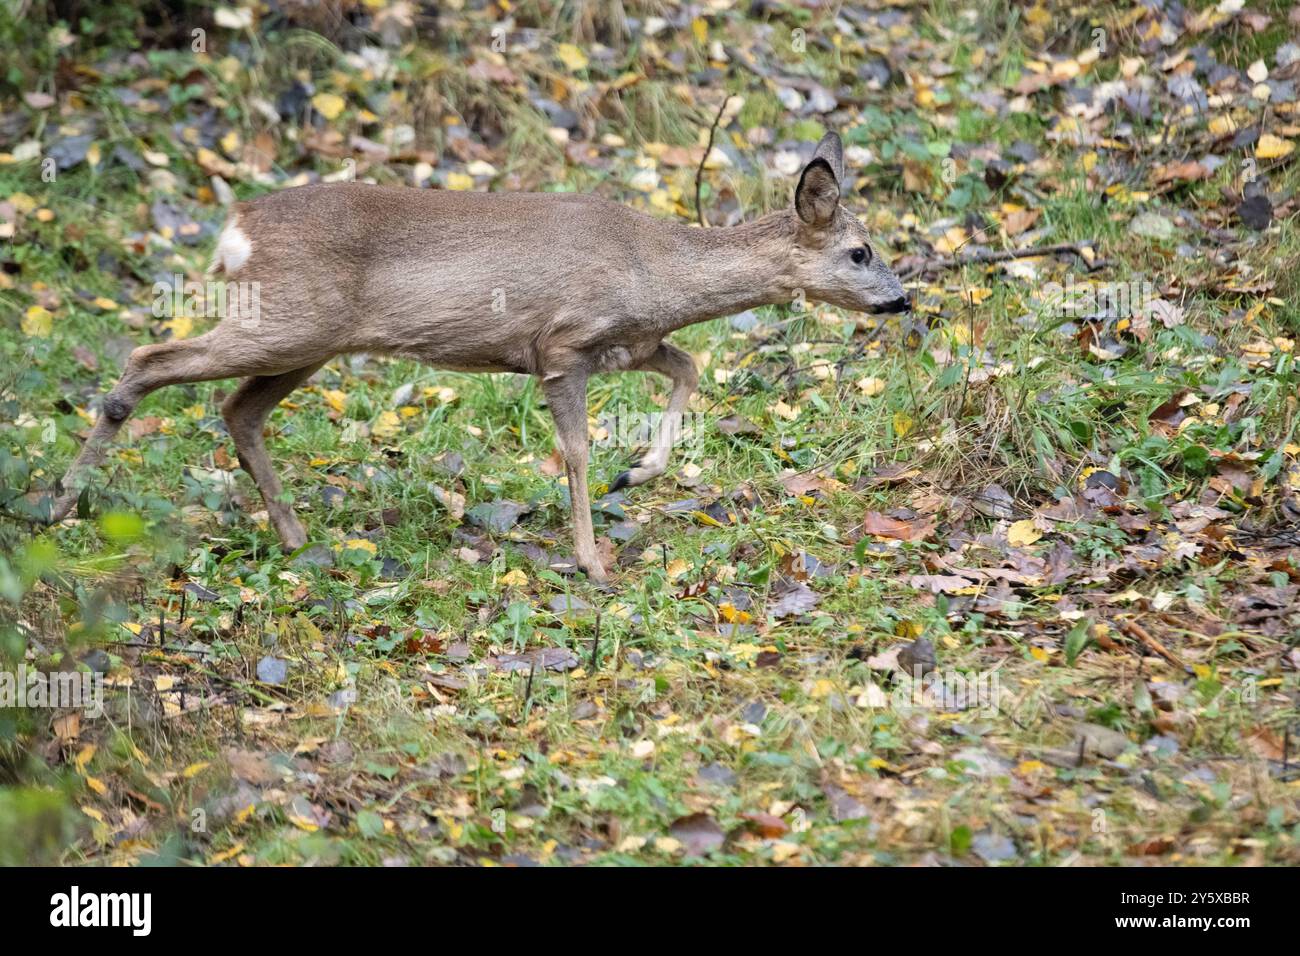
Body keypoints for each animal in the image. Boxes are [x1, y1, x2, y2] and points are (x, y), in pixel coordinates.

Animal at [44, 131, 908, 583]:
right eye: (861, 252)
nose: (901, 300)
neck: (656, 268)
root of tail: (238, 227)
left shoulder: (628, 344)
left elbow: (688, 369)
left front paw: (640, 472)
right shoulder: (562, 344)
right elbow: (575, 450)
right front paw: (592, 560)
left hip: (308, 343)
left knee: (236, 408)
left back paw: (293, 539)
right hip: (286, 322)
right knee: (150, 356)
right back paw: (58, 504)